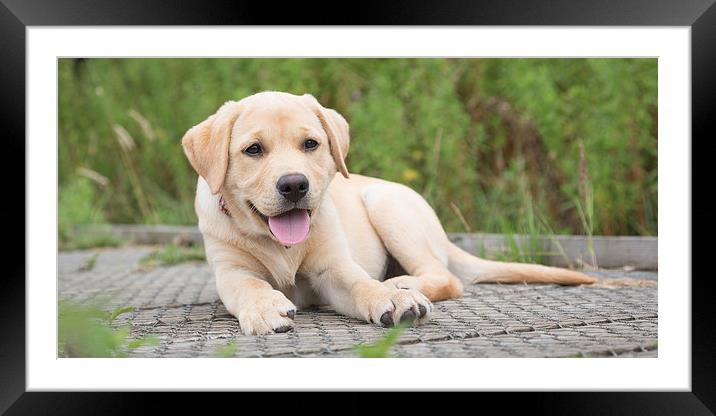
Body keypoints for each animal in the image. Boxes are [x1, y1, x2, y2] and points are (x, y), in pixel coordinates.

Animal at [182, 90, 596, 334]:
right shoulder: (231, 271)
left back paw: (401, 285)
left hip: (384, 204)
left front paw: (390, 298)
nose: (295, 185)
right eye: (253, 150)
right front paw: (265, 307)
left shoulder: (333, 267)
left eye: (310, 144)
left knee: (445, 277)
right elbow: (250, 285)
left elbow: (360, 283)